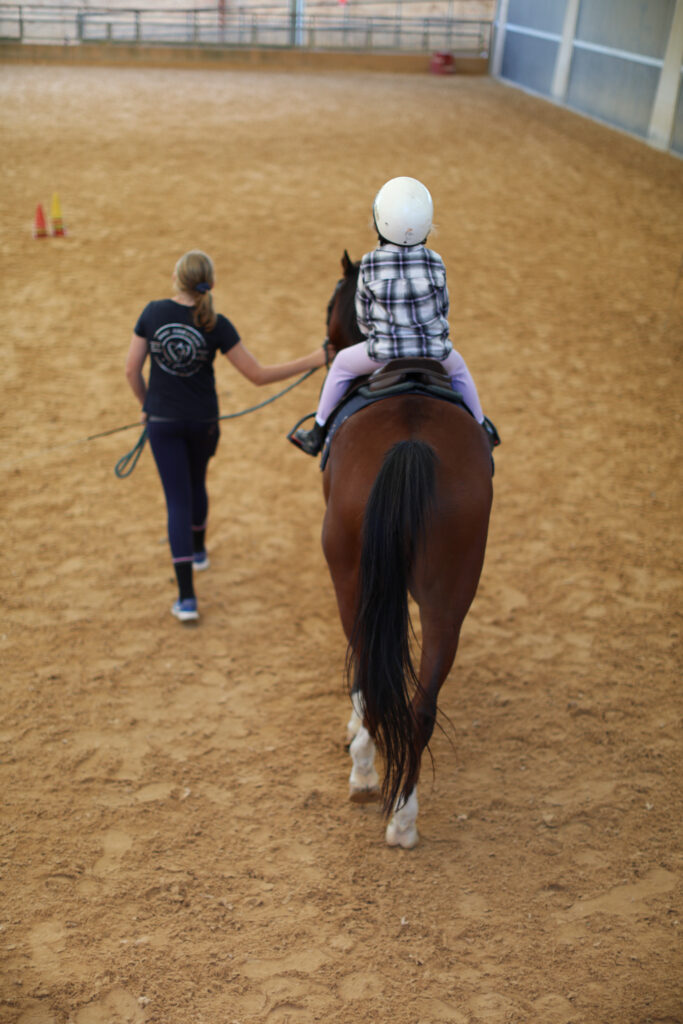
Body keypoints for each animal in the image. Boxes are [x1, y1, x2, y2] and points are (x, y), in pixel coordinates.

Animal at [319, 249, 491, 847]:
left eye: (333, 302)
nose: (325, 347)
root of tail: (411, 443)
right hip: (449, 596)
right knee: (421, 707)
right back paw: (404, 819)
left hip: (351, 580)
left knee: (371, 674)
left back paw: (365, 775)